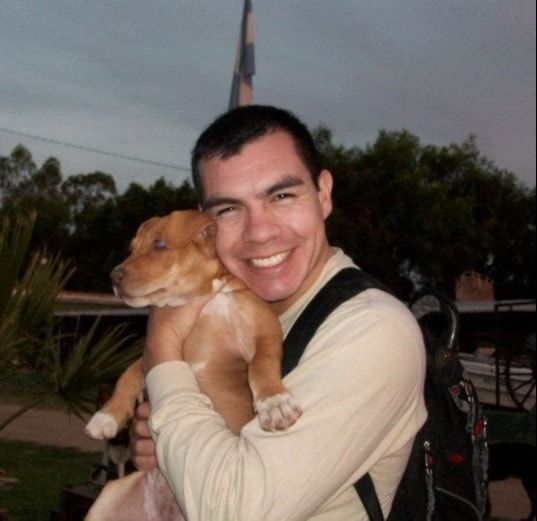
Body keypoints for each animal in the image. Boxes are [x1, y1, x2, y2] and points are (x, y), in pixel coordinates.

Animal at [84, 210, 302, 521]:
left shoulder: (265, 335)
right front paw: (106, 418)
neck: (209, 296)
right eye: (132, 248)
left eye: (159, 245)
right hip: (107, 498)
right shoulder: (151, 356)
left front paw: (274, 403)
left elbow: (261, 365)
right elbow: (127, 375)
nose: (113, 276)